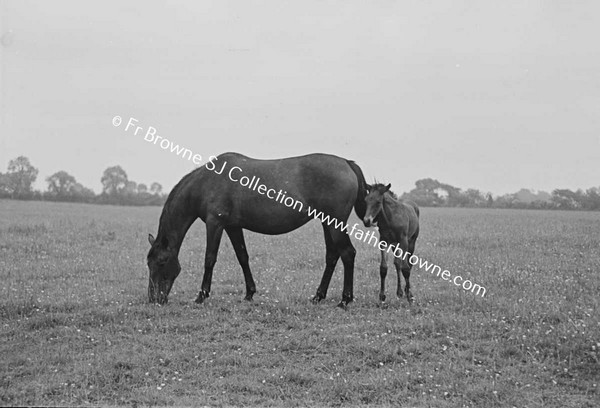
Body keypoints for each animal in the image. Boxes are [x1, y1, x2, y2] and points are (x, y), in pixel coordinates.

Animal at [148, 151, 368, 308]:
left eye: (161, 262)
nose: (154, 299)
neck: (206, 182)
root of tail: (346, 163)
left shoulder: (215, 224)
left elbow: (209, 259)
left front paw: (201, 296)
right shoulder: (233, 227)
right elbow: (242, 257)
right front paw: (249, 294)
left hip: (334, 224)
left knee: (347, 253)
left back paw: (345, 300)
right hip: (327, 223)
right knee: (332, 256)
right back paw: (318, 296)